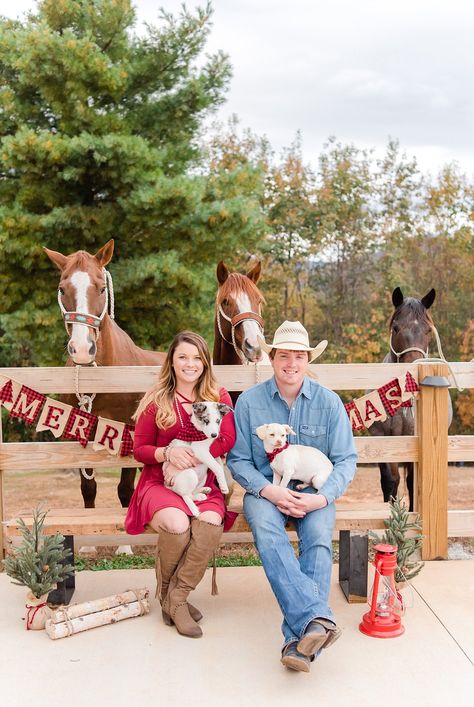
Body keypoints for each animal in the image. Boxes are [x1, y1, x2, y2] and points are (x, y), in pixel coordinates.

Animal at [44, 239, 167, 516]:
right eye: (62, 289)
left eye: (101, 288)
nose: (81, 348)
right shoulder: (80, 433)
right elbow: (88, 489)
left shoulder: (129, 435)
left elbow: (125, 491)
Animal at [370, 284, 452, 512]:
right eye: (396, 328)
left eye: (428, 330)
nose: (412, 371)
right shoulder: (384, 440)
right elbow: (390, 481)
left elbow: (413, 483)